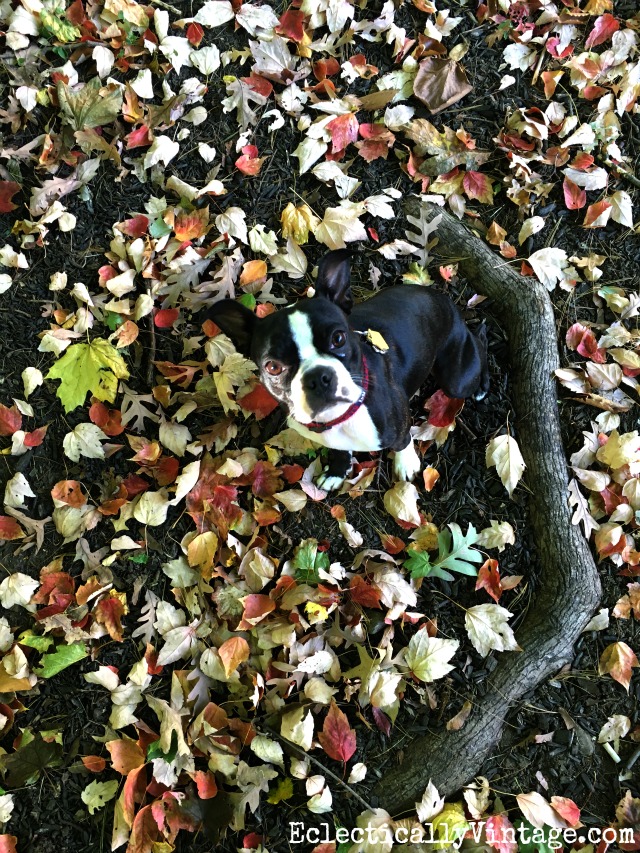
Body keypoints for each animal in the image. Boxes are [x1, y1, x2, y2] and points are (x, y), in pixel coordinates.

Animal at [208, 251, 488, 486]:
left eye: (339, 338)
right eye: (273, 367)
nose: (318, 377)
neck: (338, 418)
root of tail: (444, 300)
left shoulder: (398, 427)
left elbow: (403, 440)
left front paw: (406, 463)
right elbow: (340, 451)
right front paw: (337, 471)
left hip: (457, 379)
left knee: (478, 350)